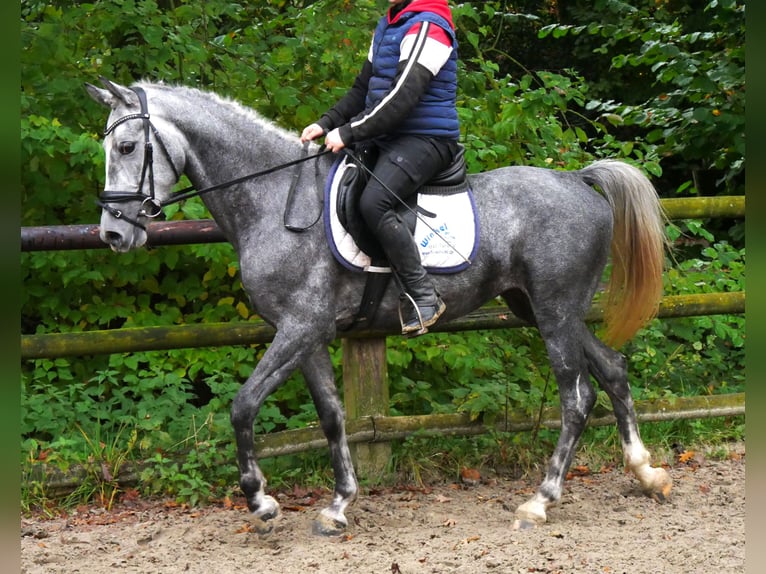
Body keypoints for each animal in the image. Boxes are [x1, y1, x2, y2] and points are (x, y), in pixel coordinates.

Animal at [84, 79, 672, 536]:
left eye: (129, 147)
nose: (112, 234)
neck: (274, 200)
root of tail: (577, 180)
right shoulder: (307, 333)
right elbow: (331, 415)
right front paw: (339, 505)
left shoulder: (298, 327)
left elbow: (243, 406)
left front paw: (261, 501)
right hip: (544, 309)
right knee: (613, 370)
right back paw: (646, 472)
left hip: (554, 313)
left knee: (577, 398)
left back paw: (540, 501)